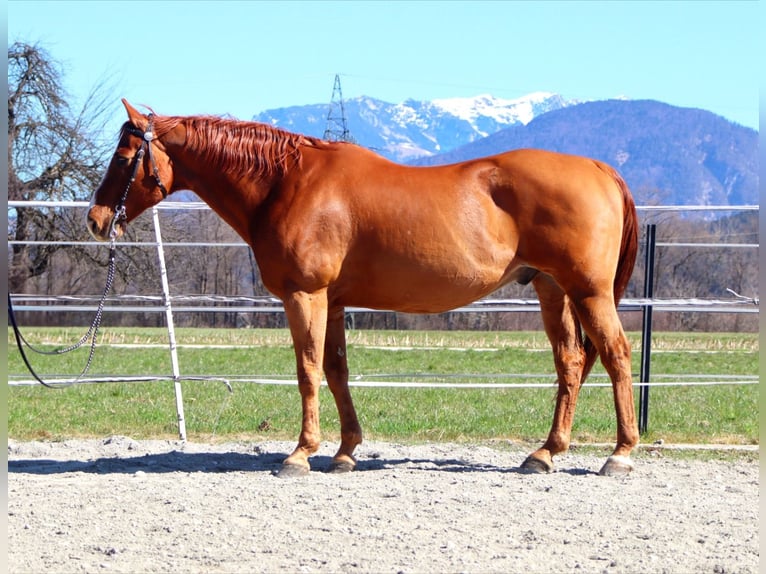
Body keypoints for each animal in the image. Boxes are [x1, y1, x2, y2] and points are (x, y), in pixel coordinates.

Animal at [87, 99, 639, 478]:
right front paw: (345, 451)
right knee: (570, 363)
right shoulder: (331, 302)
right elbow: (336, 371)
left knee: (615, 355)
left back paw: (620, 454)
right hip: (552, 290)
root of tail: (598, 168)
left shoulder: (305, 296)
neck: (286, 183)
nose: (95, 219)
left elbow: (307, 371)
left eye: (124, 156)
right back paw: (545, 453)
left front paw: (300, 454)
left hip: (588, 292)